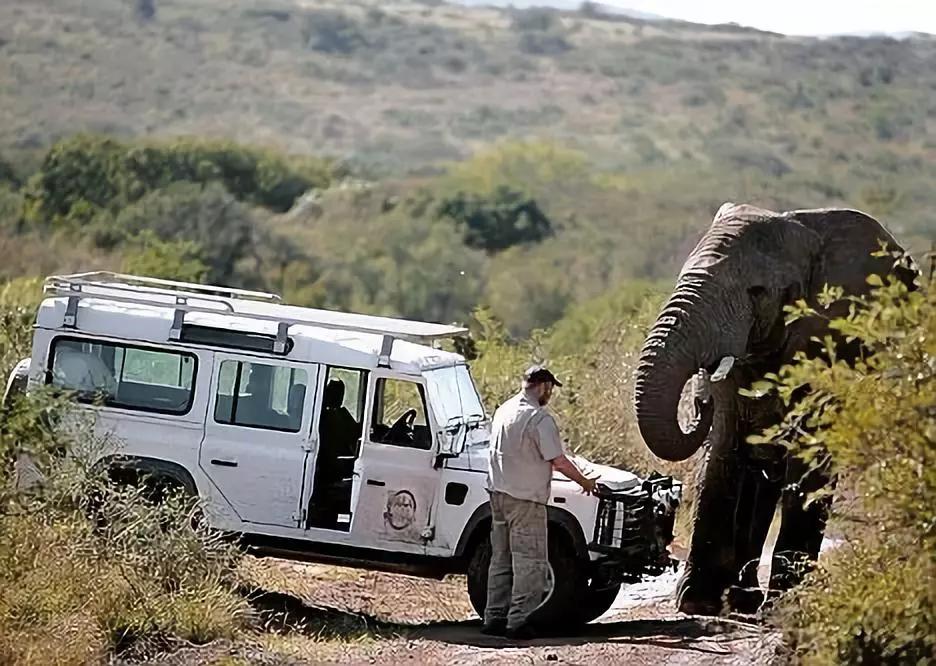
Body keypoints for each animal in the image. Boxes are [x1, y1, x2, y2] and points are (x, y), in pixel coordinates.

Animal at [633, 202, 917, 616]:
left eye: (758, 292)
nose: (700, 400)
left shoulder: (827, 347)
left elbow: (808, 457)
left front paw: (784, 608)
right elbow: (722, 450)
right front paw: (696, 603)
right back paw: (741, 598)